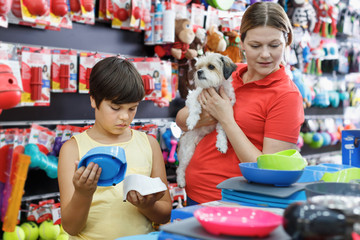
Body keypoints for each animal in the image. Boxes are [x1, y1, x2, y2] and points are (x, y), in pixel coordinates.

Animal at [176, 52, 238, 188]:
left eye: (211, 66)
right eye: (198, 67)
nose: (199, 72)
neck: (214, 89)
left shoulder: (224, 114)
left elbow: (223, 131)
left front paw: (222, 144)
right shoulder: (193, 97)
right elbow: (195, 108)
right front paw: (192, 121)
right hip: (187, 151)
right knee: (180, 168)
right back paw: (181, 181)